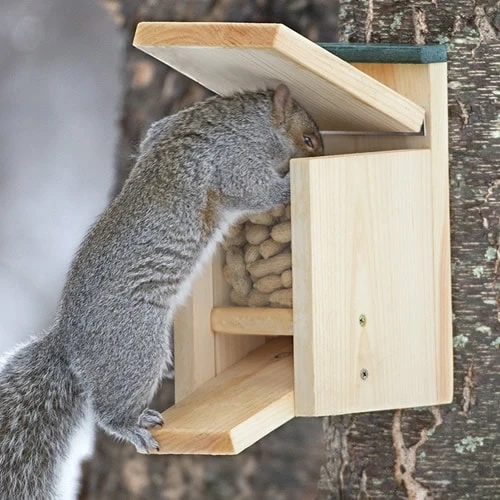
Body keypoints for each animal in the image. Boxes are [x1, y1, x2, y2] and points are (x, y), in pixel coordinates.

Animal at [0, 84, 324, 498]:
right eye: (309, 139)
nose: (325, 154)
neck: (245, 123)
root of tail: (69, 345)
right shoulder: (235, 164)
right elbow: (257, 192)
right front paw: (288, 187)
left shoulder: (162, 129)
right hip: (134, 348)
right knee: (109, 412)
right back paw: (130, 425)